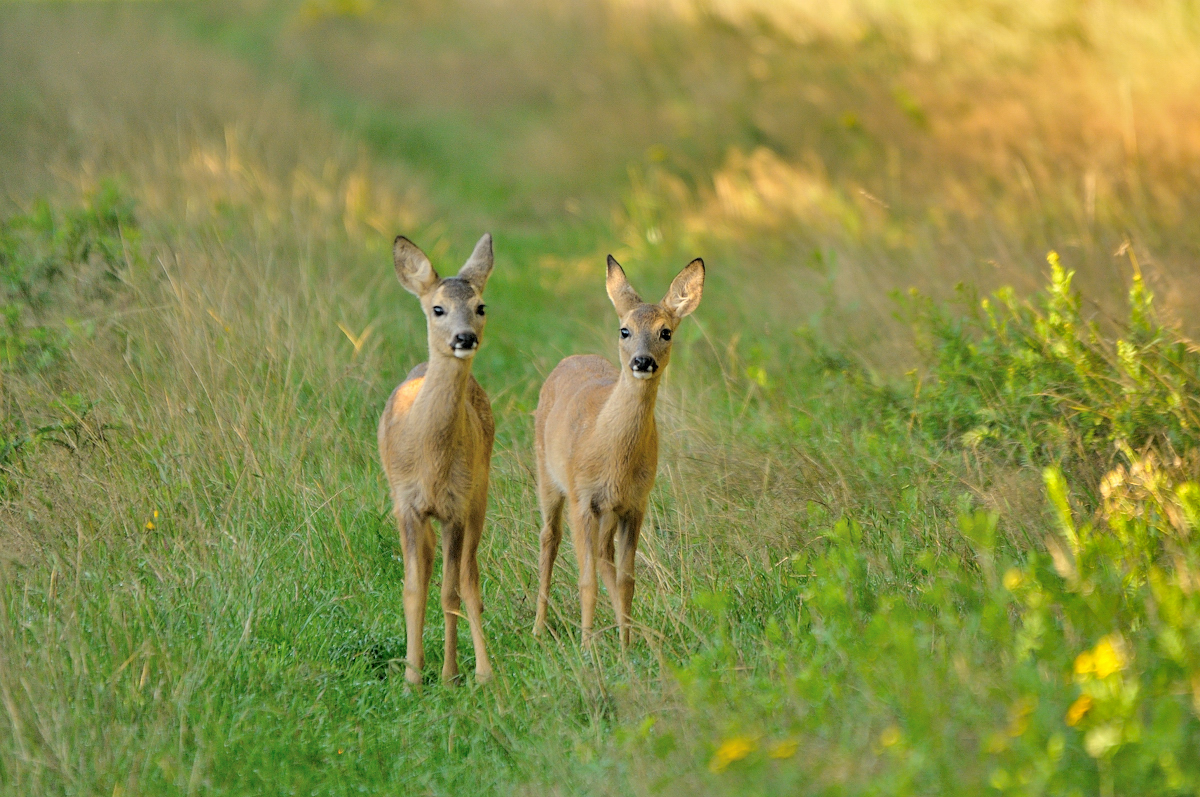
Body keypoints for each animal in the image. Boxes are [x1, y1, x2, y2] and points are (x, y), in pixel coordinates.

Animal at [381, 231, 499, 686]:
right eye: (438, 308)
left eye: (481, 306)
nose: (464, 338)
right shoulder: (408, 504)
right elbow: (413, 589)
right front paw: (413, 676)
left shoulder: (457, 506)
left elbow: (454, 590)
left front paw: (456, 673)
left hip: (480, 494)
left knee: (468, 576)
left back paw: (468, 669)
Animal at [532, 255, 700, 648]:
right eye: (625, 330)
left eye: (666, 332)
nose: (642, 361)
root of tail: (571, 358)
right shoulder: (582, 498)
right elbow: (586, 580)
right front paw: (586, 646)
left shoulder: (635, 504)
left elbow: (627, 579)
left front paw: (625, 646)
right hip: (547, 474)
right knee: (549, 538)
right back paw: (538, 628)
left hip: (607, 511)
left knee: (603, 554)